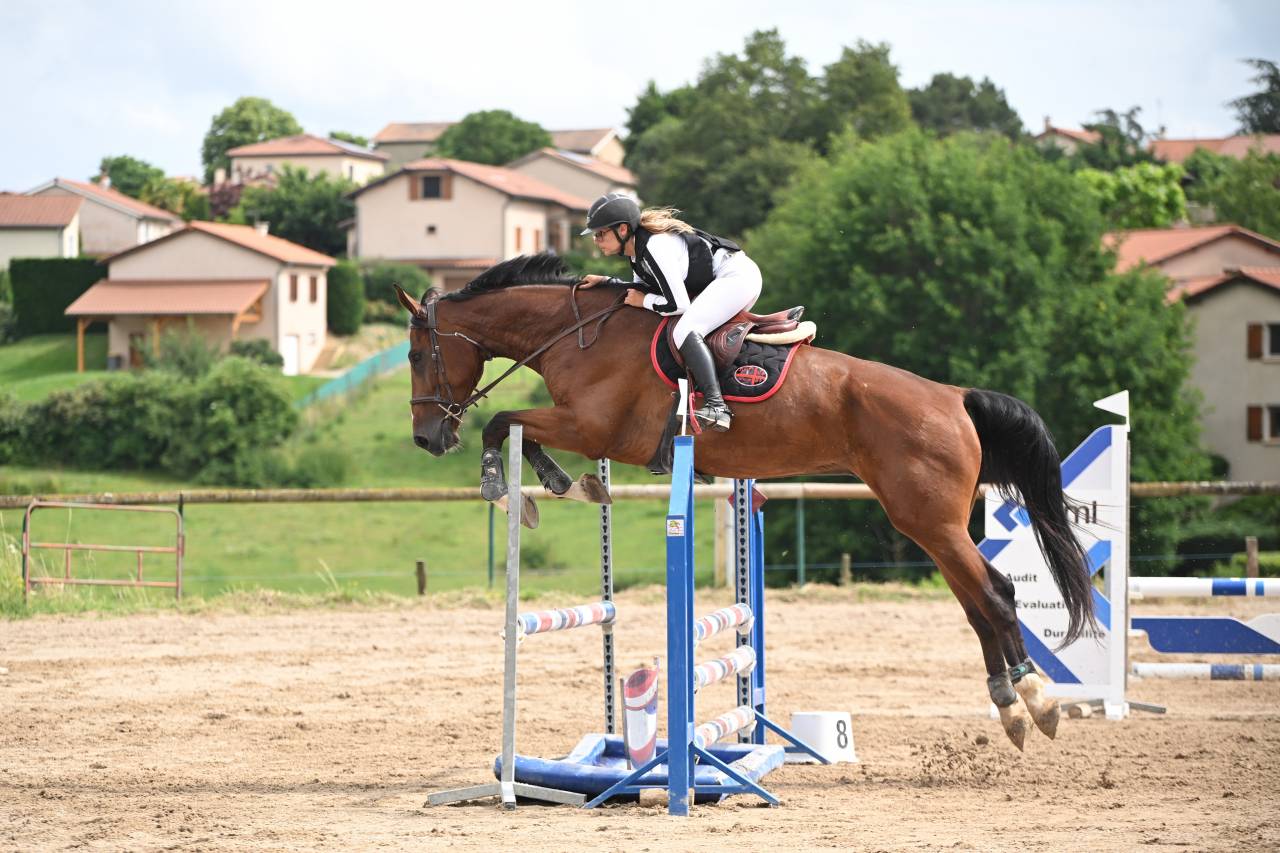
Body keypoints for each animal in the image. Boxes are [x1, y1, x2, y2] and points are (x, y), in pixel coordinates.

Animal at [394, 253, 1095, 750]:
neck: (575, 333)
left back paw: (1039, 700)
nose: (428, 438)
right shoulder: (582, 428)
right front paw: (564, 484)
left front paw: (506, 485)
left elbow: (502, 422)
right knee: (976, 603)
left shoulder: (592, 428)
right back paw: (1007, 705)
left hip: (929, 519)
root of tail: (953, 397)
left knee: (997, 593)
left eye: (415, 354)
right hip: (929, 523)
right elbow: (520, 430)